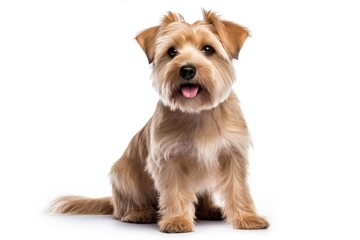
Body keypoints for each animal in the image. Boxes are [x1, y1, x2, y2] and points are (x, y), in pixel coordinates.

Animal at [51, 9, 270, 232]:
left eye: (208, 49)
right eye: (172, 51)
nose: (187, 70)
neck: (197, 112)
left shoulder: (232, 155)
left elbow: (238, 189)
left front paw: (247, 217)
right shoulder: (168, 159)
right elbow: (175, 191)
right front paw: (177, 220)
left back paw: (209, 209)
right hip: (123, 174)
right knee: (125, 207)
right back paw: (140, 213)